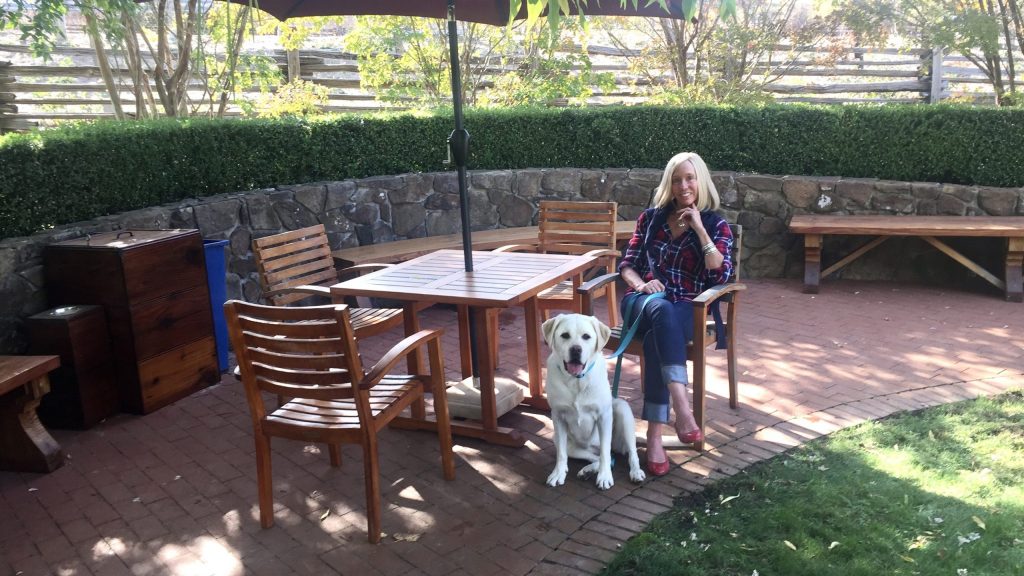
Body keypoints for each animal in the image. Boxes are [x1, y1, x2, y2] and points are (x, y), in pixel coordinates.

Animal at [540, 311, 643, 485]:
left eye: (586, 336)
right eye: (565, 335)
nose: (576, 349)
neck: (576, 381)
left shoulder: (604, 416)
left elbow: (605, 453)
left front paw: (605, 477)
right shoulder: (558, 417)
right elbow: (561, 454)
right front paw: (558, 473)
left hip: (622, 411)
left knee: (626, 453)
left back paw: (635, 472)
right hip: (567, 444)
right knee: (600, 458)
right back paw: (587, 471)